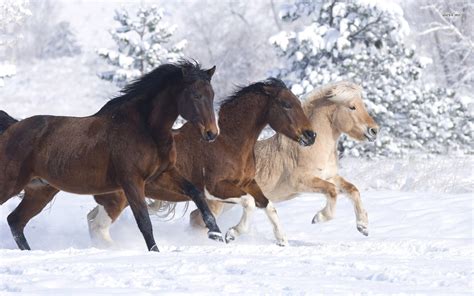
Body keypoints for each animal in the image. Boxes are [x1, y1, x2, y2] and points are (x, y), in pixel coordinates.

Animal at [0, 60, 223, 252]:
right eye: (195, 95)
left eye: (212, 94)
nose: (212, 133)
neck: (145, 128)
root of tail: (11, 128)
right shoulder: (132, 181)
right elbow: (144, 222)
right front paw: (155, 252)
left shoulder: (162, 175)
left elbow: (196, 193)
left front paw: (217, 235)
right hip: (11, 184)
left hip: (40, 191)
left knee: (15, 221)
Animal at [189, 81, 378, 240]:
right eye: (352, 107)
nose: (374, 130)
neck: (311, 148)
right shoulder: (301, 182)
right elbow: (332, 191)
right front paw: (318, 218)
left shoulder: (330, 176)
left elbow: (352, 190)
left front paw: (363, 227)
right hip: (218, 202)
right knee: (196, 219)